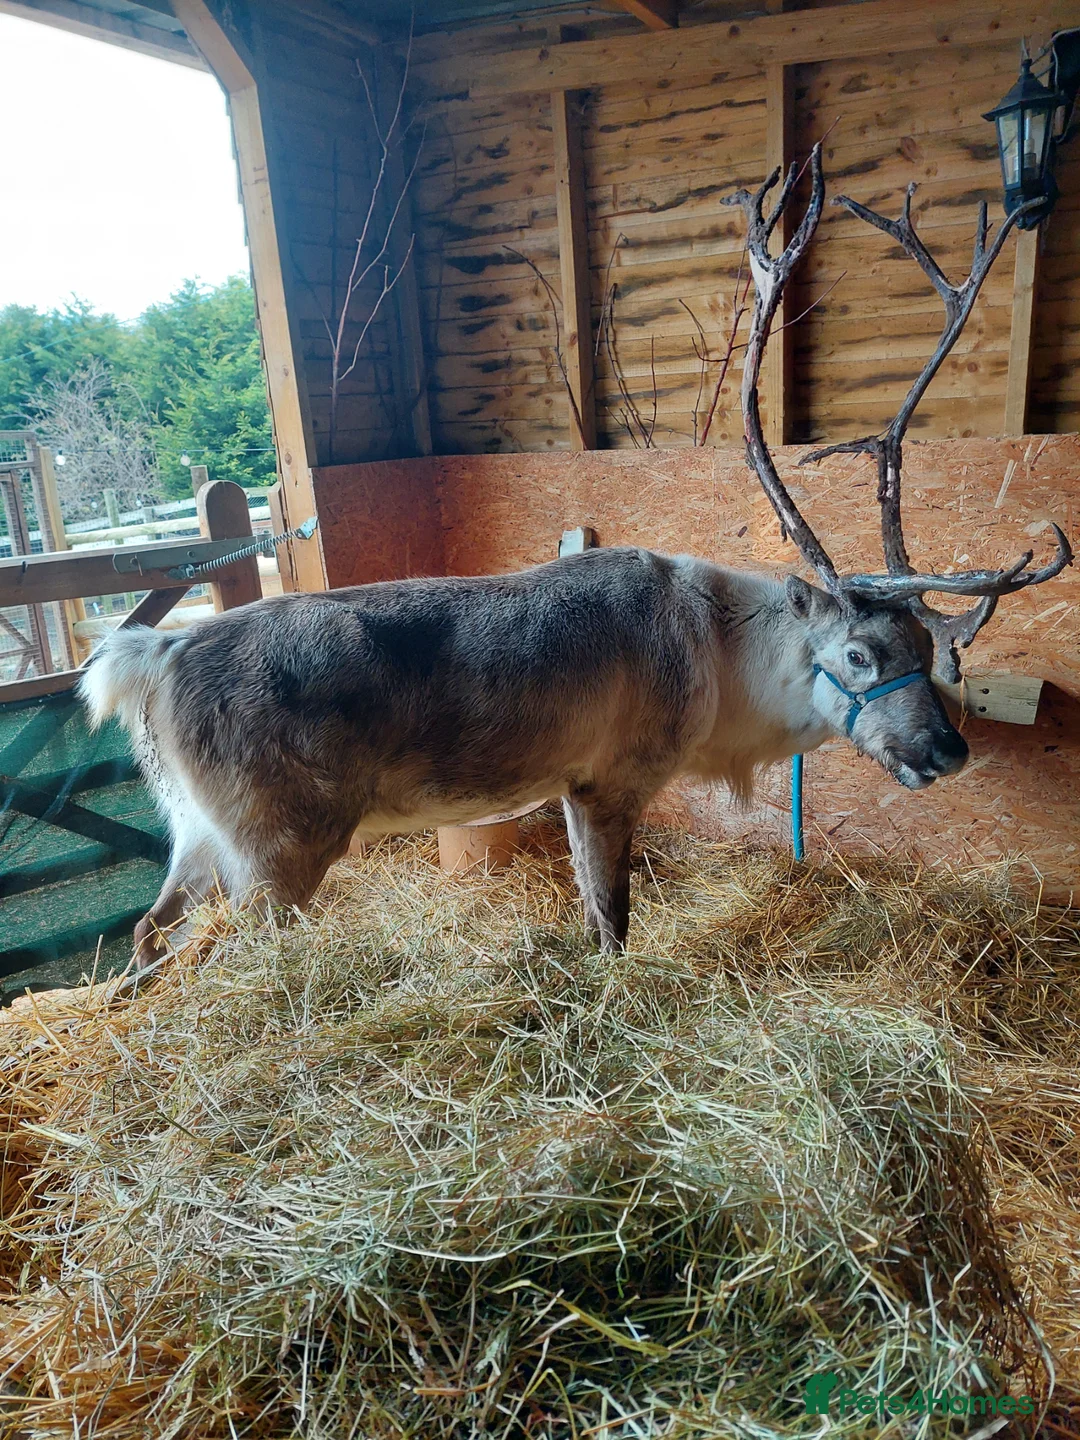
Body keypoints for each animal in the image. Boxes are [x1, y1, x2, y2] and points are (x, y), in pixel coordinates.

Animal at [80, 143, 1071, 963]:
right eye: (860, 654)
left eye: (934, 652)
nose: (948, 750)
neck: (723, 663)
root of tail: (152, 656)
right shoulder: (610, 780)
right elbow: (611, 919)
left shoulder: (564, 785)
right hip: (274, 844)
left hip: (196, 831)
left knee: (146, 932)